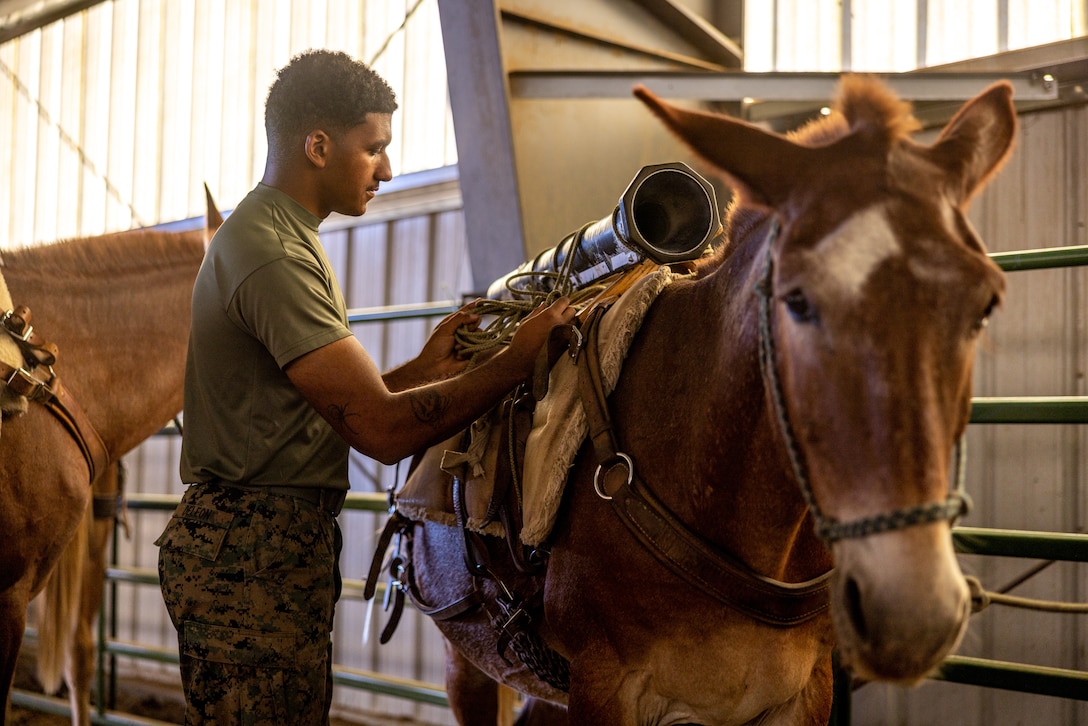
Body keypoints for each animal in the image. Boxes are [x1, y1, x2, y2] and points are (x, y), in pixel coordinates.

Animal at [387, 76, 1014, 722]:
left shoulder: (804, 690)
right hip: (468, 665)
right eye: (797, 300)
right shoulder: (603, 689)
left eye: (985, 304)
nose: (913, 612)